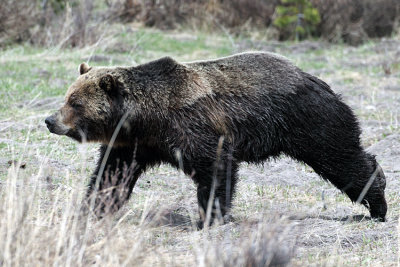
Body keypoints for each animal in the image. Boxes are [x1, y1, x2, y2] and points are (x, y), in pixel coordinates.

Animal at [46, 51, 388, 224]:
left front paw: (210, 216)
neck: (146, 118)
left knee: (341, 158)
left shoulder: (194, 128)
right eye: (67, 97)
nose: (50, 120)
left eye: (75, 103)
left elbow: (216, 168)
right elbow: (112, 174)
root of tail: (318, 80)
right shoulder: (136, 144)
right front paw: (94, 207)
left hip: (311, 122)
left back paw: (378, 203)